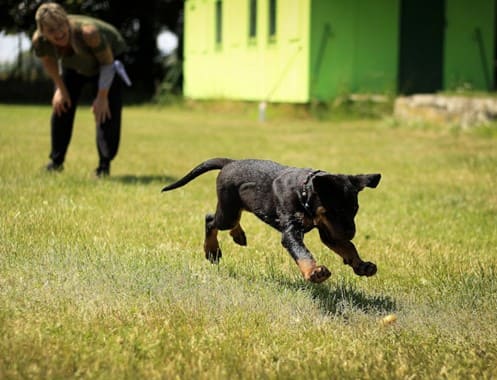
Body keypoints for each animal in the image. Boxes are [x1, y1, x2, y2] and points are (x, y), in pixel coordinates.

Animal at [163, 157, 380, 282]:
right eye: (335, 210)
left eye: (355, 209)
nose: (351, 232)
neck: (303, 192)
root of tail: (229, 163)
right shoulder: (292, 231)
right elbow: (302, 252)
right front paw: (314, 272)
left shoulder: (329, 231)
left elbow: (348, 247)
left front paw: (362, 265)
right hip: (228, 211)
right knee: (211, 220)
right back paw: (212, 250)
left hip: (237, 206)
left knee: (231, 220)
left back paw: (238, 235)